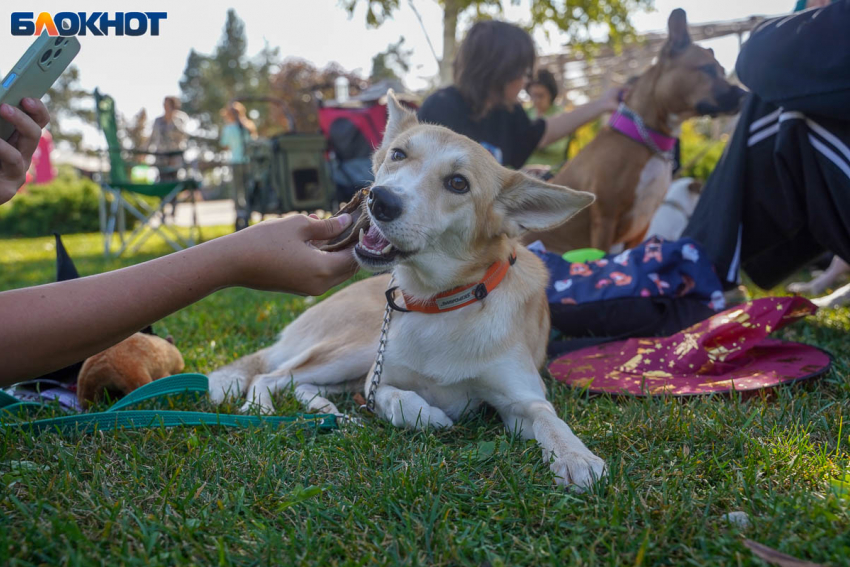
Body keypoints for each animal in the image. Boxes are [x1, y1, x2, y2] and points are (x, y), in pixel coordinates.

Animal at [209, 93, 608, 488]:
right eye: (398, 154)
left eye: (458, 183)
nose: (380, 200)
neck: (441, 302)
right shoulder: (378, 379)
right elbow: (398, 401)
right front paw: (431, 416)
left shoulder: (521, 400)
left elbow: (549, 419)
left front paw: (576, 456)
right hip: (356, 348)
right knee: (270, 376)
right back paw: (261, 409)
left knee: (300, 385)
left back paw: (332, 414)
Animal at [528, 9, 744, 255]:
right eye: (707, 69)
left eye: (723, 71)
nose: (743, 94)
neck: (646, 139)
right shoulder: (605, 218)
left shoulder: (641, 228)